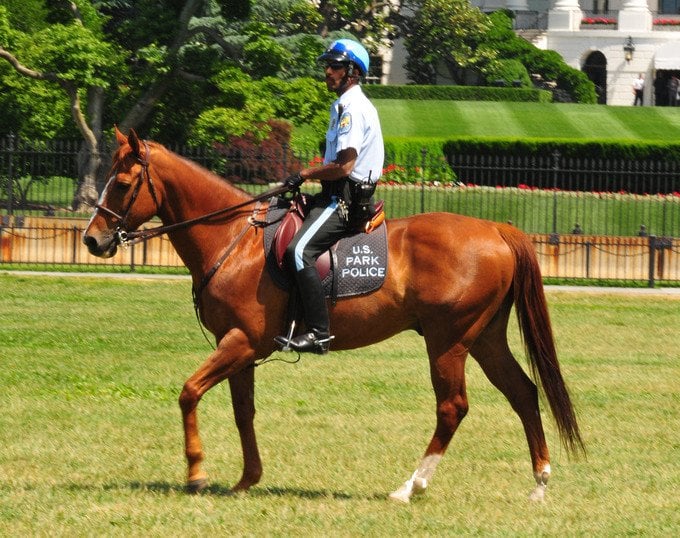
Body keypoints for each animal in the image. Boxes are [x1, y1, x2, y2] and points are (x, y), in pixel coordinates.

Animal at [85, 126, 584, 502]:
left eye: (123, 184)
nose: (92, 239)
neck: (233, 239)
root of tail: (497, 229)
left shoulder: (241, 341)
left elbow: (189, 393)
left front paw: (196, 473)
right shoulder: (242, 349)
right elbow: (243, 411)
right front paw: (247, 478)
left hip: (449, 341)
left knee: (452, 407)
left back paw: (411, 486)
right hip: (484, 338)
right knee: (523, 393)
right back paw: (539, 482)